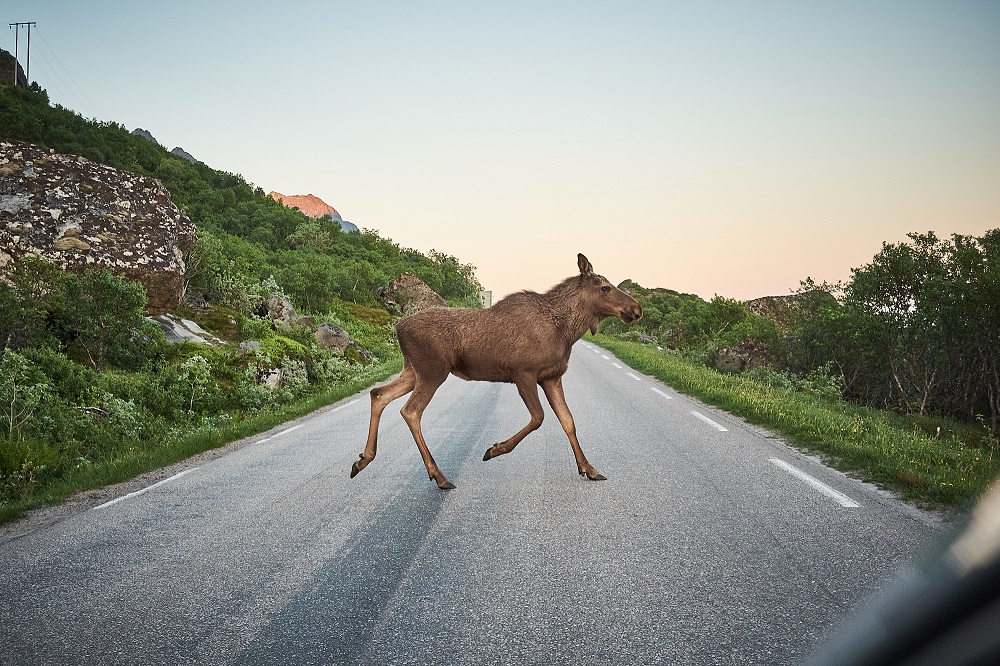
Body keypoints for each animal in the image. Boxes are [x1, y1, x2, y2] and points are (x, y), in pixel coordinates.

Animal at [352, 254, 644, 488]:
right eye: (605, 287)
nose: (636, 309)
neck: (567, 331)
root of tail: (398, 328)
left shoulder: (552, 377)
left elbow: (568, 421)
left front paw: (589, 469)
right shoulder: (523, 373)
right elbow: (538, 418)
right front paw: (494, 449)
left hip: (413, 370)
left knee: (379, 394)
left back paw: (363, 460)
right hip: (433, 371)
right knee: (410, 411)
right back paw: (439, 475)